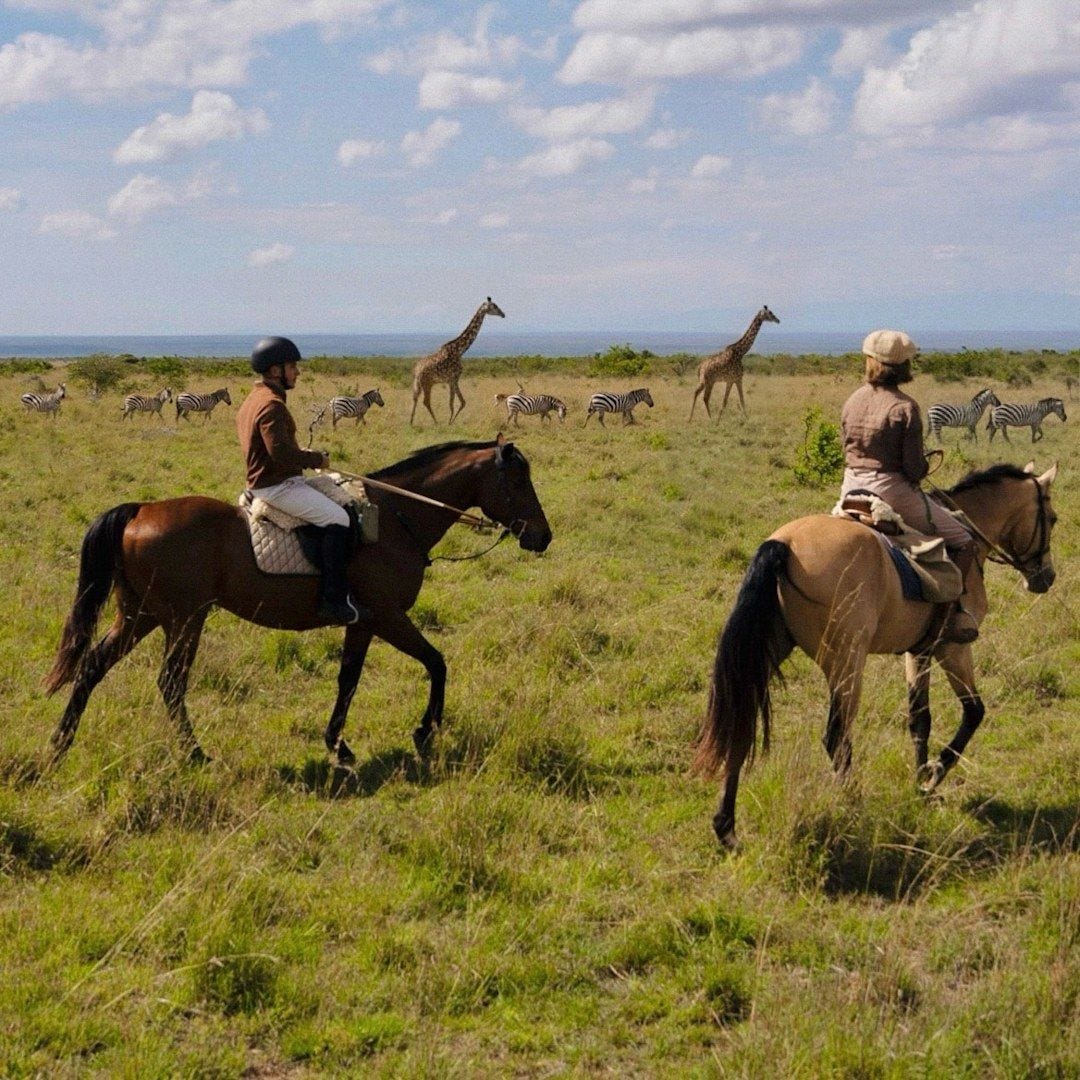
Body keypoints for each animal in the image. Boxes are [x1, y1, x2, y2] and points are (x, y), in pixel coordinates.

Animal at [45, 436, 552, 766]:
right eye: (518, 481)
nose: (543, 537)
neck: (395, 518)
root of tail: (141, 511)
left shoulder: (362, 622)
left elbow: (349, 679)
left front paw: (338, 744)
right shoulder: (385, 617)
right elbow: (435, 663)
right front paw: (423, 732)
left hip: (140, 615)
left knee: (92, 667)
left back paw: (58, 746)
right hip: (185, 619)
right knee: (171, 683)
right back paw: (196, 754)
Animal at [693, 462, 1059, 849]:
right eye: (1052, 518)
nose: (1046, 578)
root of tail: (784, 545)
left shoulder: (919, 651)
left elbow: (920, 718)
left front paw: (920, 783)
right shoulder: (954, 647)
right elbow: (974, 712)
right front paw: (933, 774)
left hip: (768, 653)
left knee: (741, 724)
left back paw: (727, 829)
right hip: (846, 661)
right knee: (836, 736)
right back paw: (852, 803)